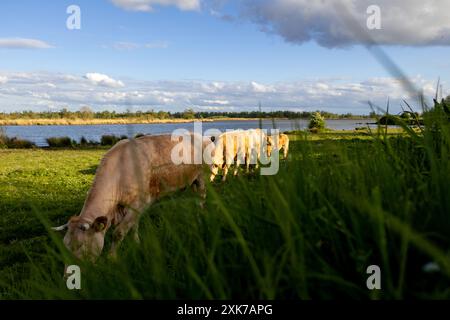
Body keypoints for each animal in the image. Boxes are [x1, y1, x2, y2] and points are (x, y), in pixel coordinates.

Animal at [53, 132, 212, 260]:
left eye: (81, 245)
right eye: (65, 247)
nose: (68, 276)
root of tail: (202, 137)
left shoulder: (140, 201)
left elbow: (119, 232)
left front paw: (112, 258)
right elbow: (134, 225)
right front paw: (137, 242)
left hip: (203, 178)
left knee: (202, 200)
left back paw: (200, 220)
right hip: (193, 181)